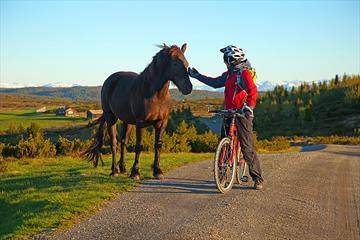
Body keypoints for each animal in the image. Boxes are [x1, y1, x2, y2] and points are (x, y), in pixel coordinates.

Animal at [83, 43, 193, 180]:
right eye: (175, 64)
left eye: (187, 64)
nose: (188, 88)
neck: (156, 95)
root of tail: (111, 80)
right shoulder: (141, 123)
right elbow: (138, 146)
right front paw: (135, 172)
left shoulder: (162, 122)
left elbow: (158, 145)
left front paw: (157, 171)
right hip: (111, 118)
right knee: (114, 143)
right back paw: (114, 170)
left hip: (127, 121)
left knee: (123, 142)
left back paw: (123, 168)